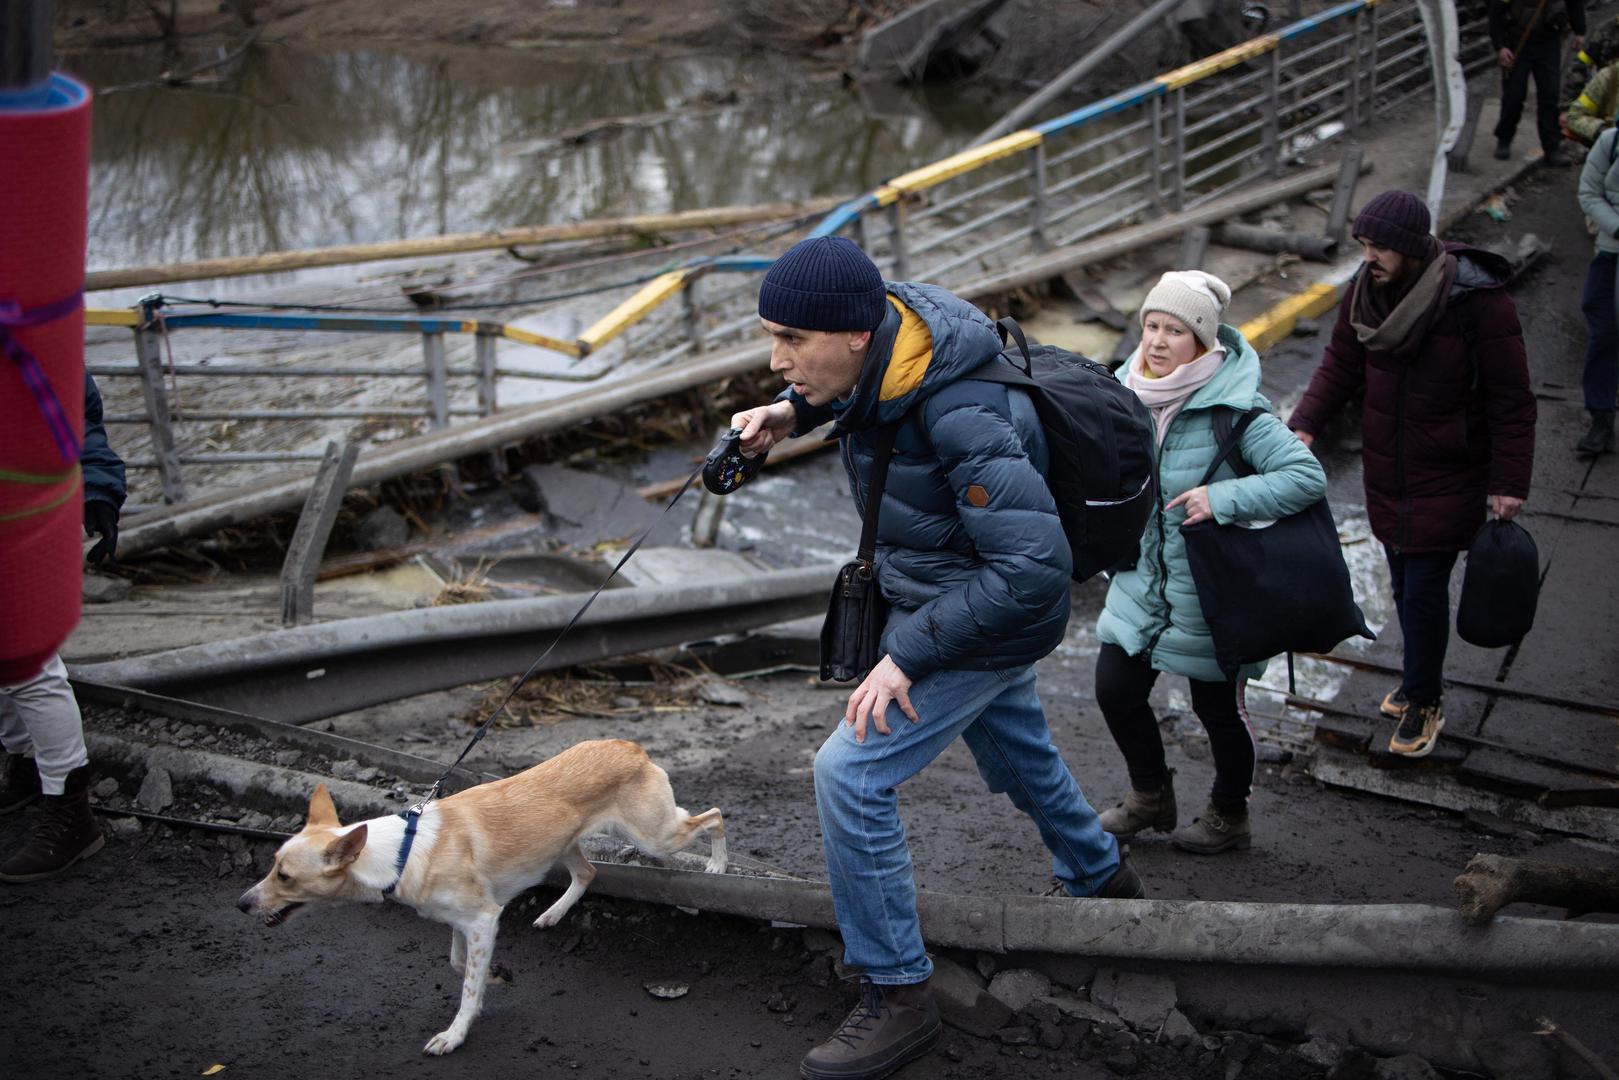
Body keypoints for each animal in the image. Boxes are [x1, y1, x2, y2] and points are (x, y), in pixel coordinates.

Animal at [236, 735, 728, 1055]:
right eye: (274, 865)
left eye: (284, 876)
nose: (241, 903)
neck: (400, 850)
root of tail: (630, 745)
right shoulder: (465, 922)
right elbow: (461, 965)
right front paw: (498, 975)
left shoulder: (483, 919)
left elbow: (466, 988)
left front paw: (455, 1034)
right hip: (564, 843)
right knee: (588, 873)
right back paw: (552, 914)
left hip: (656, 837)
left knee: (715, 816)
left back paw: (718, 866)